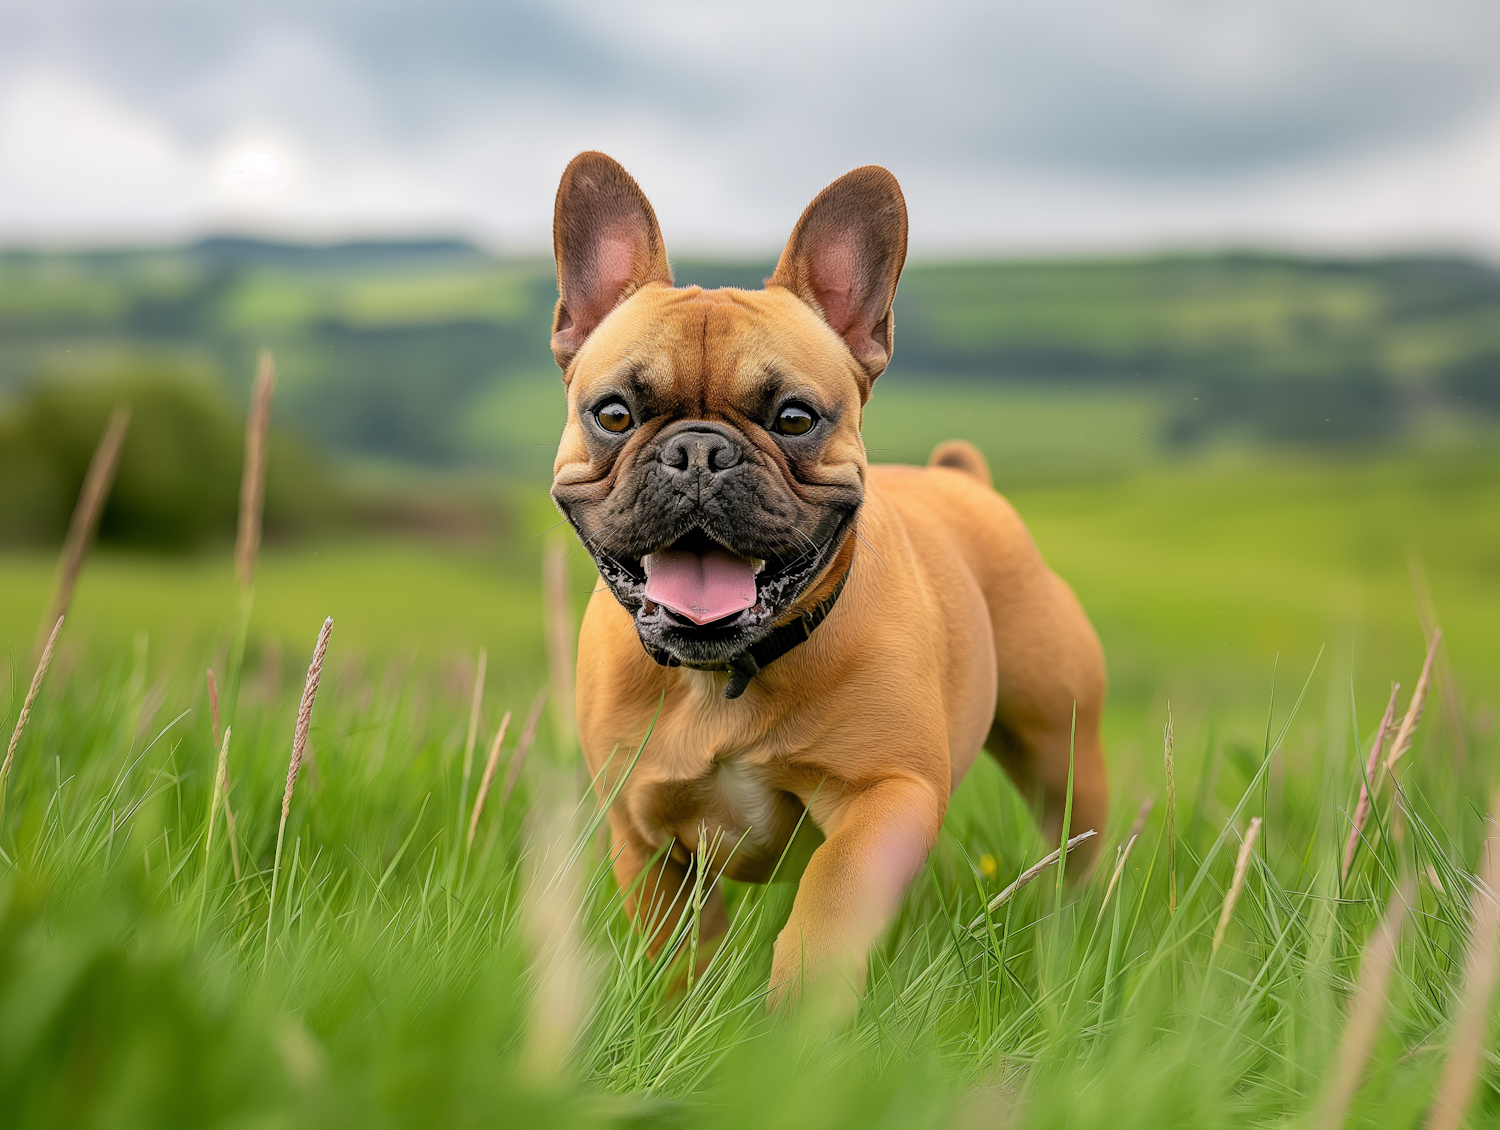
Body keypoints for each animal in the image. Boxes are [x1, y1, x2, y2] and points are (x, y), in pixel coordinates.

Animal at [546, 150, 1110, 1002]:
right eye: (613, 414)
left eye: (794, 418)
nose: (699, 452)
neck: (725, 677)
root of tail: (966, 481)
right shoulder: (643, 834)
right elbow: (678, 951)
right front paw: (683, 1016)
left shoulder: (886, 793)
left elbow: (830, 894)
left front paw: (798, 1009)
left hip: (1060, 742)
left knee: (1080, 835)